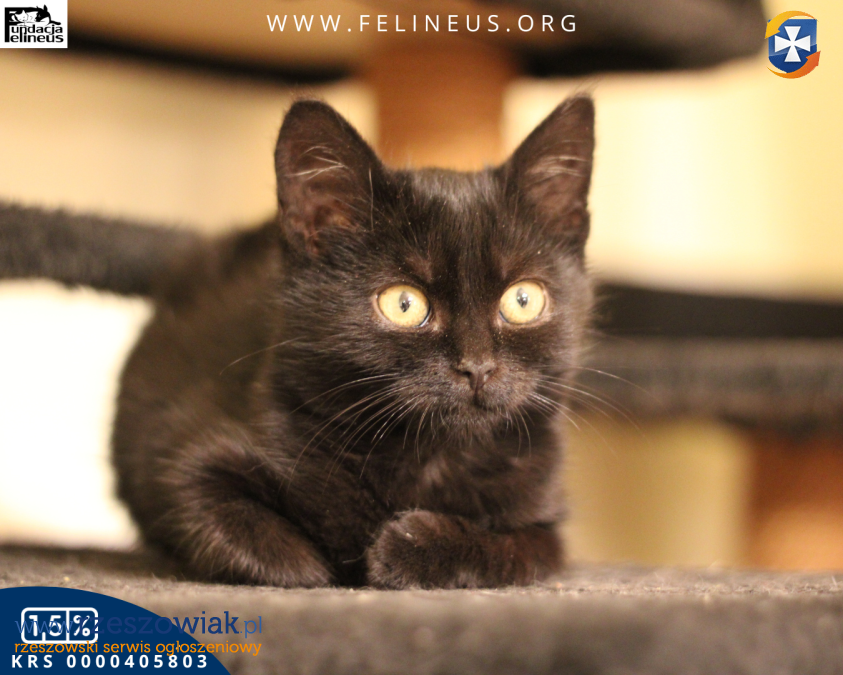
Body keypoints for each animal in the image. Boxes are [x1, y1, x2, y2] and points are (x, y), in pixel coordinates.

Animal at [0, 96, 595, 588]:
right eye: (404, 304)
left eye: (523, 300)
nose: (477, 367)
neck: (428, 456)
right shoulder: (174, 447)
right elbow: (217, 513)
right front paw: (316, 565)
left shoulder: (545, 510)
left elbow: (521, 551)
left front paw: (409, 548)